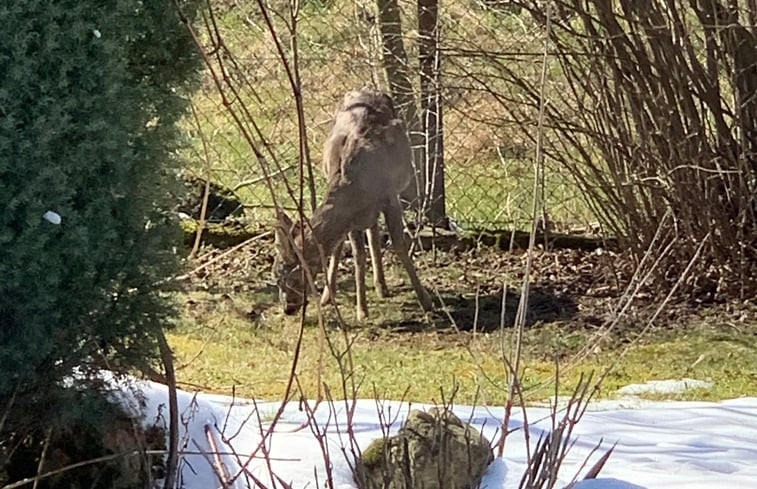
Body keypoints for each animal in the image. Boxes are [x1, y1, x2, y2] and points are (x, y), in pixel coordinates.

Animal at [274, 88, 434, 320]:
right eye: (276, 277)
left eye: (292, 278)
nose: (288, 308)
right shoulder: (351, 216)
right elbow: (356, 253)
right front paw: (361, 309)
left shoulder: (390, 197)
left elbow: (399, 246)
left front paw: (426, 301)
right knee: (365, 234)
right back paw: (340, 293)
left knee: (372, 233)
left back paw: (381, 287)